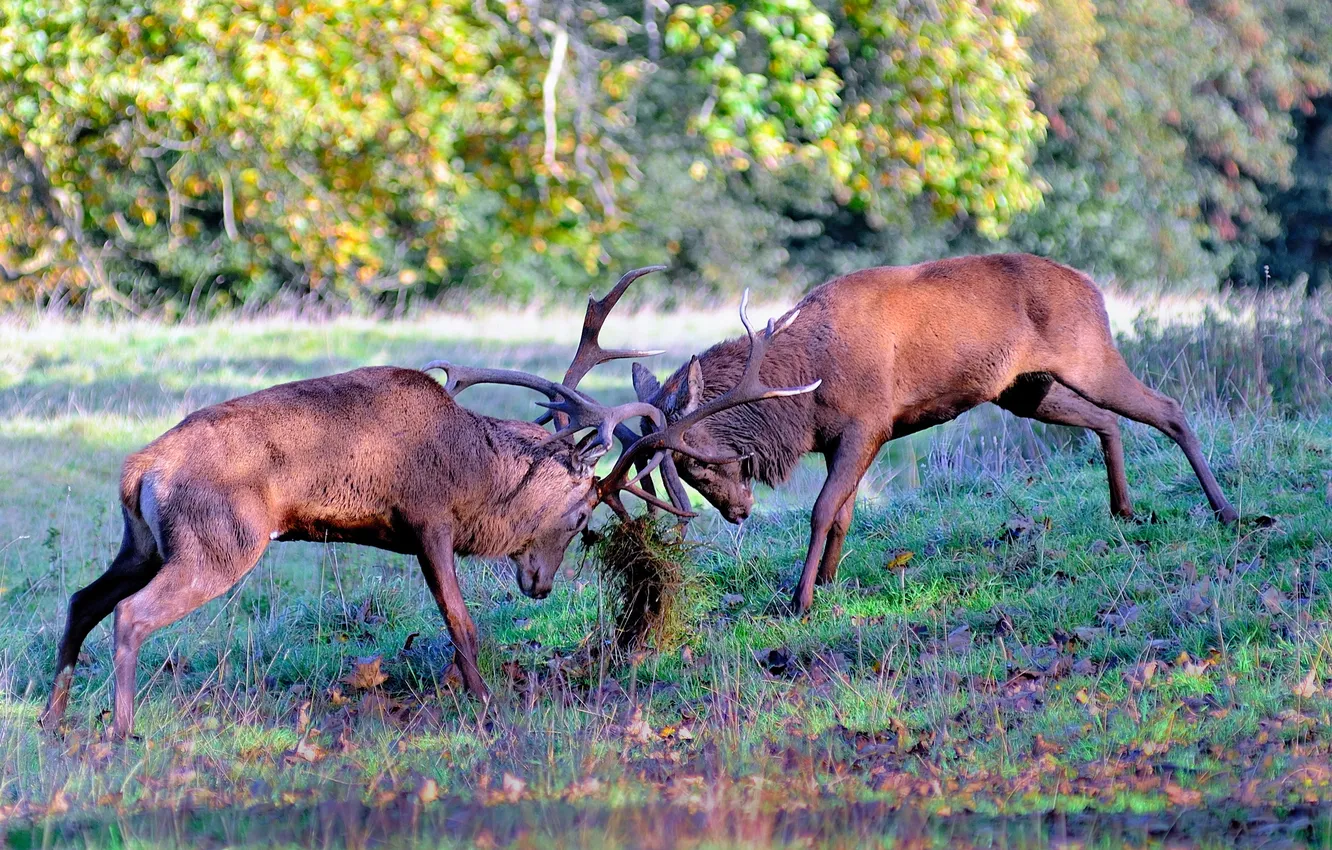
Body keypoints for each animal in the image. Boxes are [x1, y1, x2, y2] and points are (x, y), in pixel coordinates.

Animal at [38, 269, 809, 740]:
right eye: (577, 517)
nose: (540, 585)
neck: (476, 476)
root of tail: (139, 469)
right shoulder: (429, 521)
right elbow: (461, 624)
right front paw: (488, 706)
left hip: (142, 541)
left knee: (82, 598)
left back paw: (53, 721)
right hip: (218, 540)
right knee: (131, 615)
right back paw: (120, 730)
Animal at [628, 250, 1241, 615]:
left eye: (695, 462)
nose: (738, 512)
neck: (804, 391)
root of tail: (1095, 288)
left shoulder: (868, 422)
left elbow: (824, 510)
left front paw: (800, 599)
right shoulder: (842, 439)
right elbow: (844, 512)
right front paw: (826, 582)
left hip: (1088, 354)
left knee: (1169, 409)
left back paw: (1225, 511)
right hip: (1025, 390)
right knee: (1109, 420)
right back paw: (1123, 509)